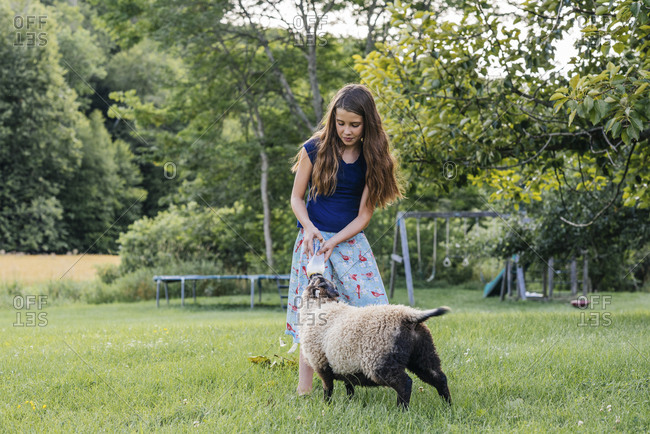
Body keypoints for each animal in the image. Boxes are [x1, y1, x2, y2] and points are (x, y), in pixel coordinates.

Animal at [298, 273, 451, 409]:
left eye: (319, 282)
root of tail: (407, 315)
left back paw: (401, 411)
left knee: (405, 383)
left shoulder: (321, 363)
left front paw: (326, 405)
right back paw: (447, 406)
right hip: (423, 354)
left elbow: (328, 388)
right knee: (439, 378)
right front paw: (349, 402)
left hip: (381, 361)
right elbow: (349, 386)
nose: (314, 274)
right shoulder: (344, 364)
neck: (319, 307)